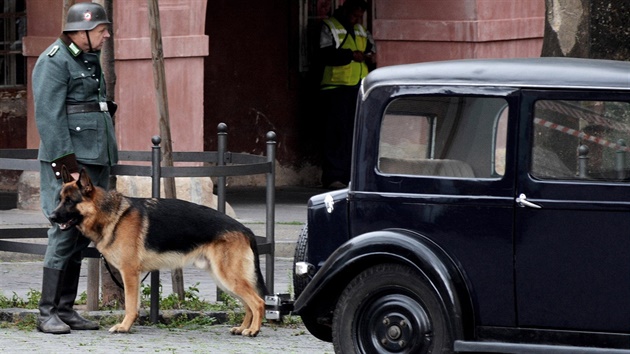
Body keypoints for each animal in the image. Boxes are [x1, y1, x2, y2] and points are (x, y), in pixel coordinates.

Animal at [49, 167, 266, 336]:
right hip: (224, 281)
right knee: (248, 304)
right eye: (59, 199)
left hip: (229, 278)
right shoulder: (132, 275)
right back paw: (242, 327)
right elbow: (134, 304)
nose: (51, 217)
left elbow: (130, 305)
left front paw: (124, 327)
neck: (111, 214)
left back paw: (253, 330)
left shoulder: (129, 273)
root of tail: (245, 229)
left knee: (258, 302)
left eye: (70, 201)